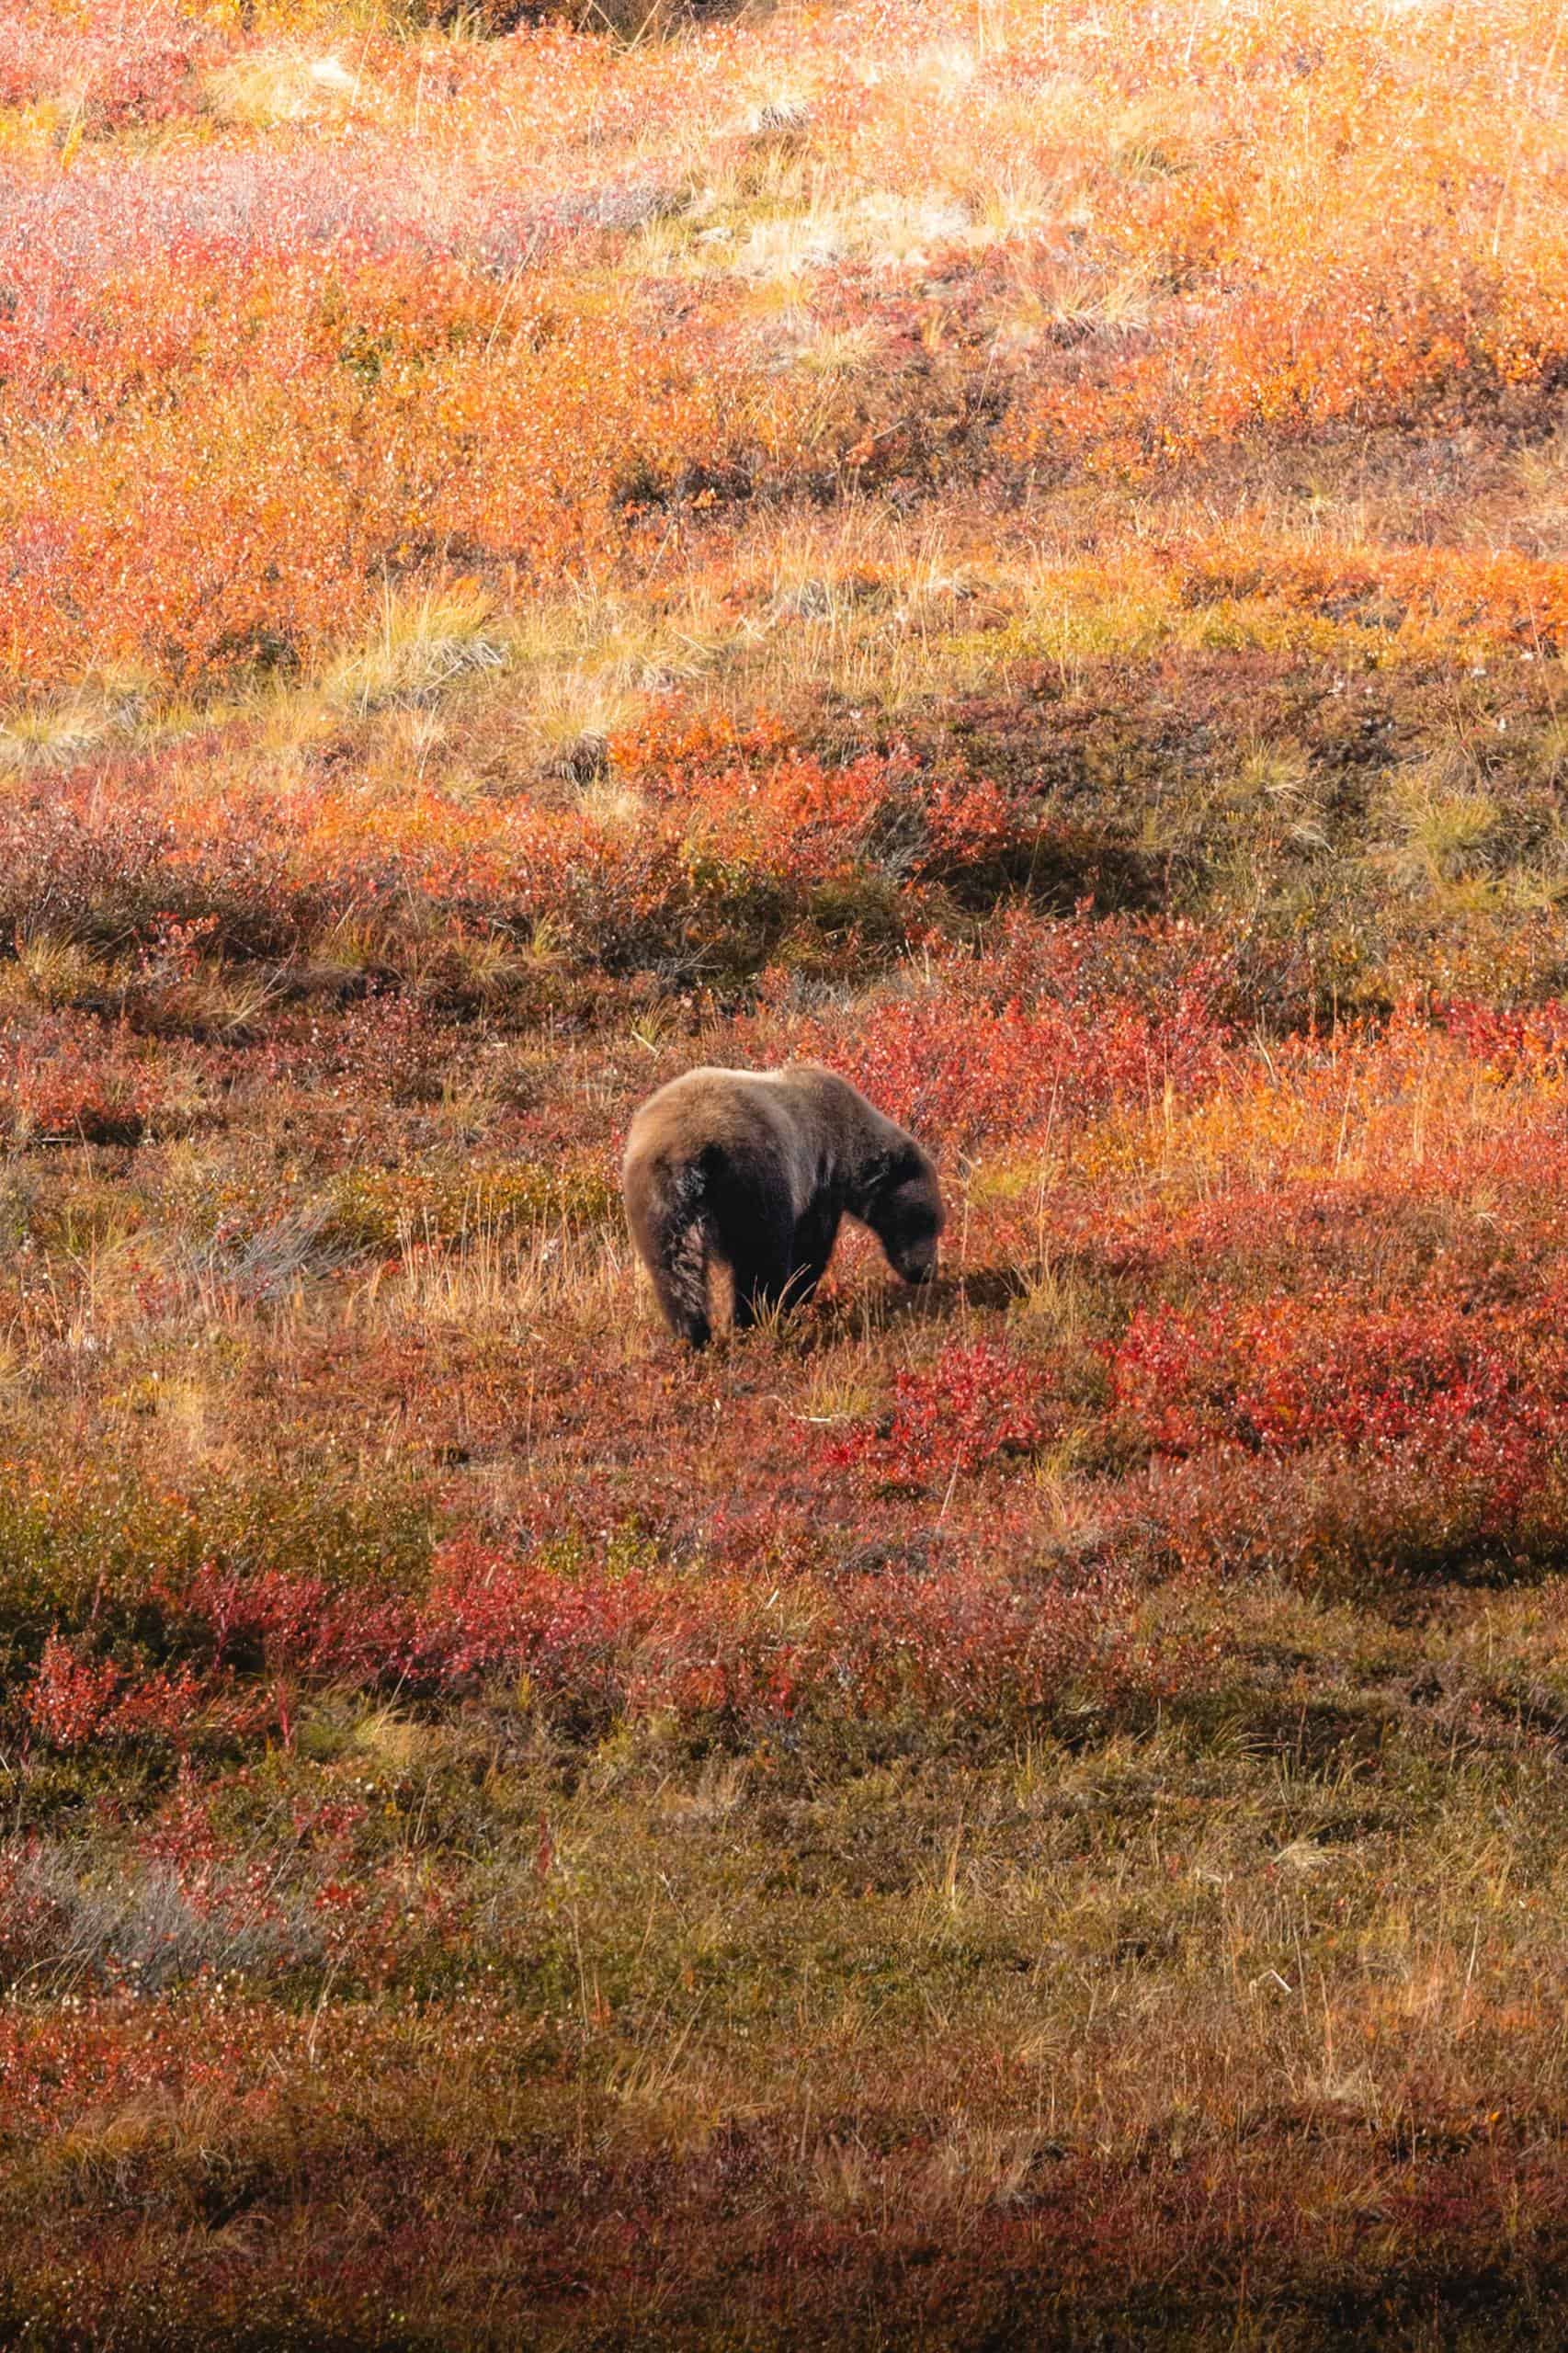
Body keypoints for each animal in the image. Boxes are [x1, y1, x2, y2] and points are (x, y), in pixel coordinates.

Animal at [622, 1062, 944, 1348]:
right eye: (927, 1222)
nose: (926, 1272)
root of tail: (688, 1150)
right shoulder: (816, 1181)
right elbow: (809, 1250)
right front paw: (797, 1299)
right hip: (751, 1179)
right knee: (759, 1259)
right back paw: (755, 1321)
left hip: (657, 1197)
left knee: (674, 1270)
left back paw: (695, 1336)